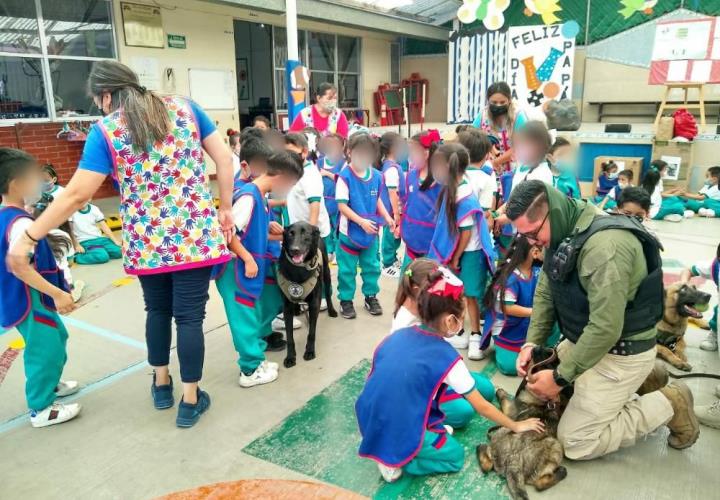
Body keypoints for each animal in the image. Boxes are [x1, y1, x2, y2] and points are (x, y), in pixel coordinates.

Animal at [278, 223, 340, 368]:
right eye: (290, 233)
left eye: (305, 233)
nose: (295, 250)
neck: (298, 269)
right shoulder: (286, 307)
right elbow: (289, 336)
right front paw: (290, 357)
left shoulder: (314, 304)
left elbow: (311, 332)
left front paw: (310, 351)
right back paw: (297, 309)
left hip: (326, 274)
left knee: (328, 294)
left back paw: (332, 310)